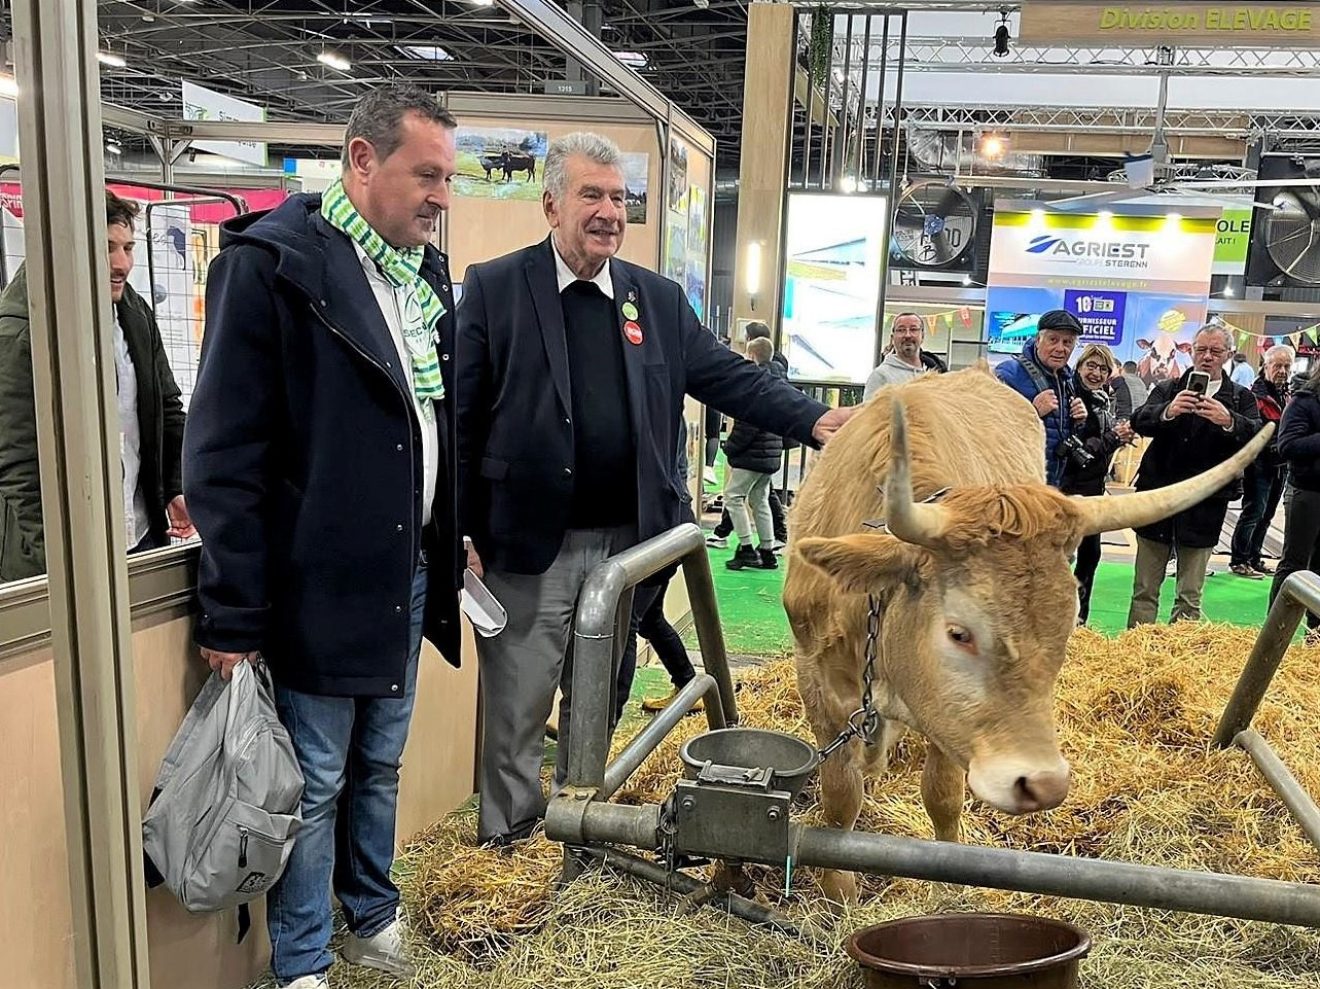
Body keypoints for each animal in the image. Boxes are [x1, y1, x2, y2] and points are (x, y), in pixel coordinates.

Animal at [781, 364, 1267, 903]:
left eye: (1065, 627)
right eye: (958, 633)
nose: (1043, 785)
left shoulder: (946, 721)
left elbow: (942, 793)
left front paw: (945, 874)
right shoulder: (817, 679)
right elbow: (841, 792)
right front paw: (839, 889)